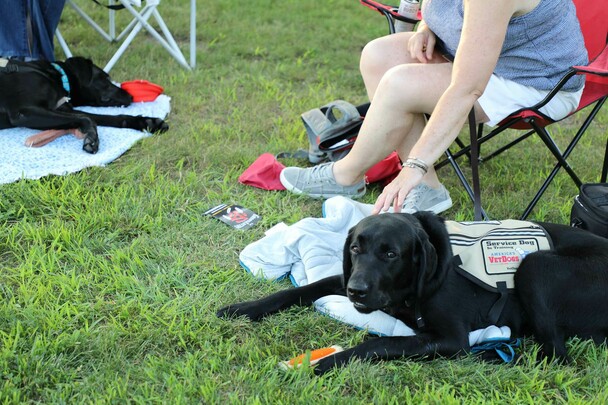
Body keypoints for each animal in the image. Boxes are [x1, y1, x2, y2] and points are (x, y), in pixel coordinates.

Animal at [0, 56, 167, 152]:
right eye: (105, 78)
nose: (130, 96)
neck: (57, 77)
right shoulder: (24, 112)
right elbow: (87, 118)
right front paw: (92, 139)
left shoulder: (63, 109)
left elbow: (109, 118)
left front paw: (147, 122)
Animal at [218, 213, 608, 374]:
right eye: (356, 248)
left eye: (391, 254)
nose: (356, 292)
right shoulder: (343, 276)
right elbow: (301, 289)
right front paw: (244, 308)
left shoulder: (450, 337)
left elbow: (380, 344)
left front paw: (325, 362)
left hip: (534, 264)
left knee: (557, 355)